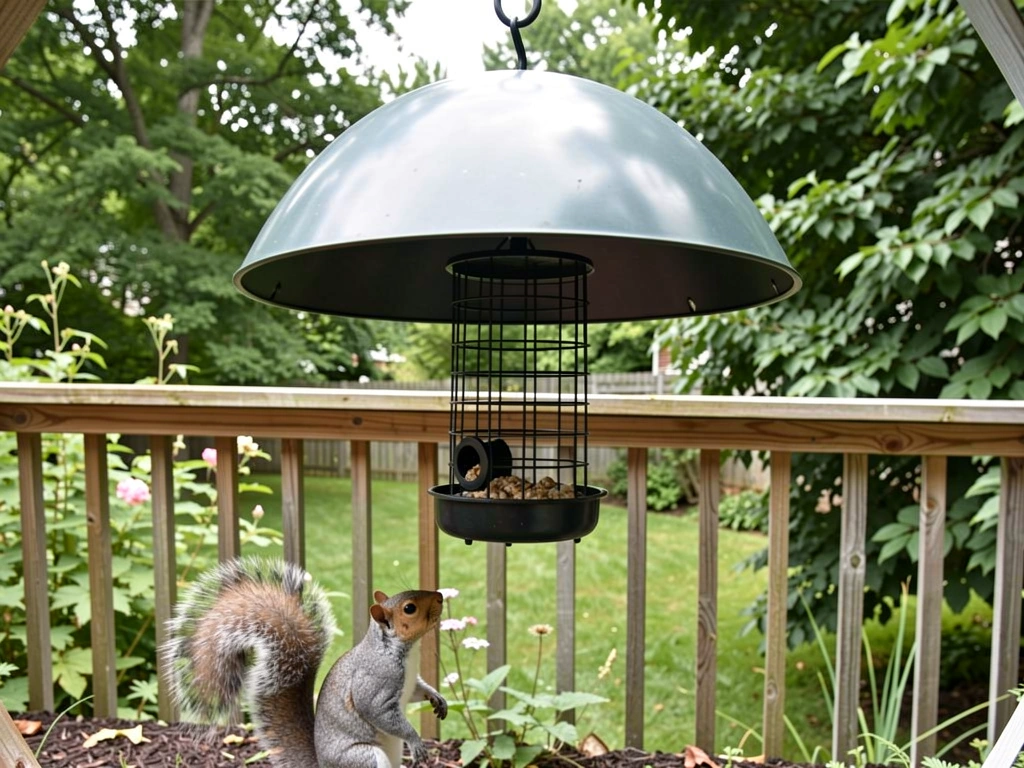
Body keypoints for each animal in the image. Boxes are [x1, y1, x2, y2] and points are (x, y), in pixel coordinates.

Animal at [162, 557, 448, 768]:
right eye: (409, 608)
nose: (440, 596)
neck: (402, 651)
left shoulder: (409, 682)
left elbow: (417, 690)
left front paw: (437, 699)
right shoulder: (376, 682)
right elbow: (376, 710)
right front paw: (415, 740)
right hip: (363, 758)